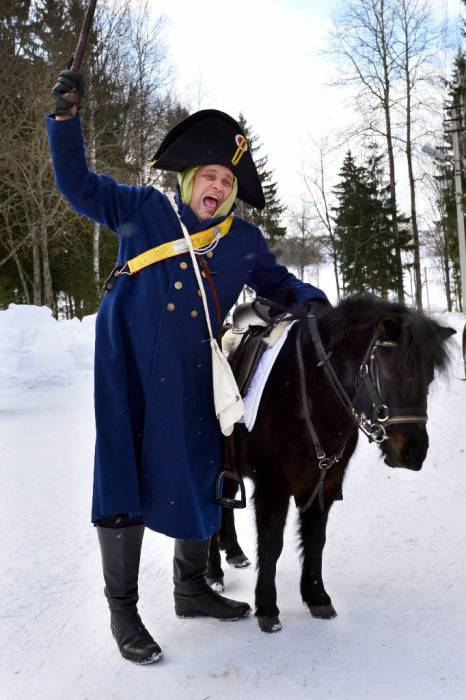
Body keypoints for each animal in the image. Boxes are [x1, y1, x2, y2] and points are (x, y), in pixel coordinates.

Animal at [207, 295, 455, 633]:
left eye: (427, 378)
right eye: (392, 374)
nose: (414, 453)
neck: (308, 393)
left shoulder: (324, 482)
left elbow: (315, 540)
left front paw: (316, 597)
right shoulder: (273, 487)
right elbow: (272, 544)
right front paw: (267, 608)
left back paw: (233, 552)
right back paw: (213, 574)